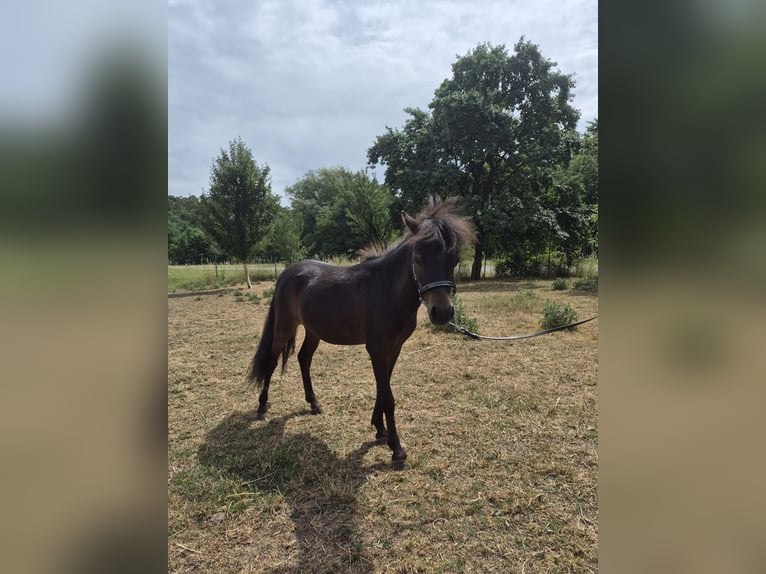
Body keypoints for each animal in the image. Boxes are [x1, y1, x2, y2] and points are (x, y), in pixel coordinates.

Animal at [246, 197, 476, 468]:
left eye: (453, 260)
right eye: (418, 259)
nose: (442, 313)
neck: (386, 290)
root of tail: (286, 273)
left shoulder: (393, 349)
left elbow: (382, 388)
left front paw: (379, 429)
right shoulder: (376, 349)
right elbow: (387, 396)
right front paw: (396, 450)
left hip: (314, 330)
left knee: (304, 358)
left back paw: (314, 404)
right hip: (284, 326)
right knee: (271, 361)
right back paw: (262, 407)